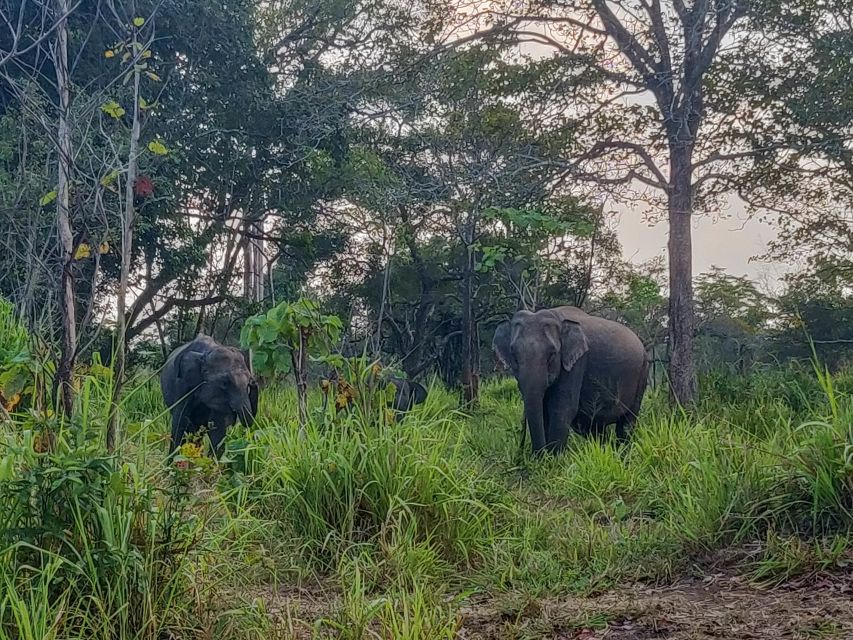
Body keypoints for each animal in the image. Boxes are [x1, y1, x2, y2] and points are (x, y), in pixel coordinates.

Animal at [490, 306, 648, 452]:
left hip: (642, 372)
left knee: (626, 423)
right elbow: (544, 410)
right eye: (513, 354)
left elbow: (562, 408)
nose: (525, 453)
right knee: (595, 429)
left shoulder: (576, 363)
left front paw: (553, 460)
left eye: (552, 354)